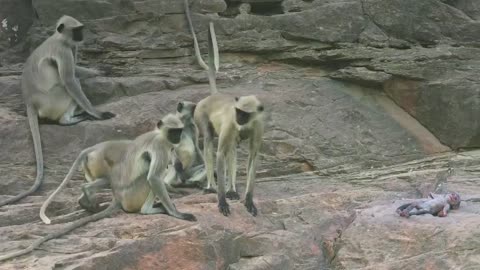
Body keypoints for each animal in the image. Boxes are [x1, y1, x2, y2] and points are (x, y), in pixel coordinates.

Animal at [0, 15, 115, 208]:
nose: (81, 36)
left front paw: (100, 70)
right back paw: (70, 119)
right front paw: (96, 113)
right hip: (53, 100)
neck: (59, 38)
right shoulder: (64, 50)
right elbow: (70, 79)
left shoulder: (72, 47)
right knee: (70, 85)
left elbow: (76, 70)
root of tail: (30, 101)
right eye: (76, 30)